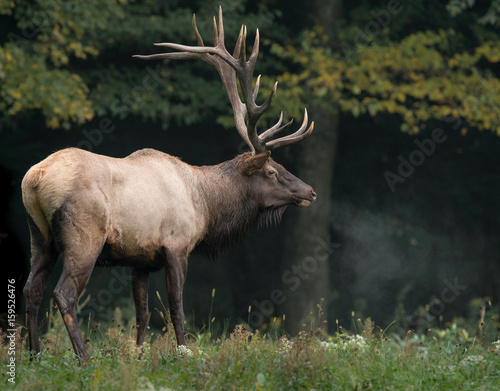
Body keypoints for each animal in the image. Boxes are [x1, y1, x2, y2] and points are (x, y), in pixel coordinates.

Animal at [23, 6, 316, 362]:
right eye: (272, 170)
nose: (310, 191)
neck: (206, 204)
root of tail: (35, 178)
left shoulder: (140, 260)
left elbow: (143, 312)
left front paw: (137, 356)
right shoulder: (177, 244)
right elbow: (176, 306)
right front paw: (184, 351)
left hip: (40, 236)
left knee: (31, 290)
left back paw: (34, 356)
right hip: (84, 236)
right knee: (63, 294)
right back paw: (83, 358)